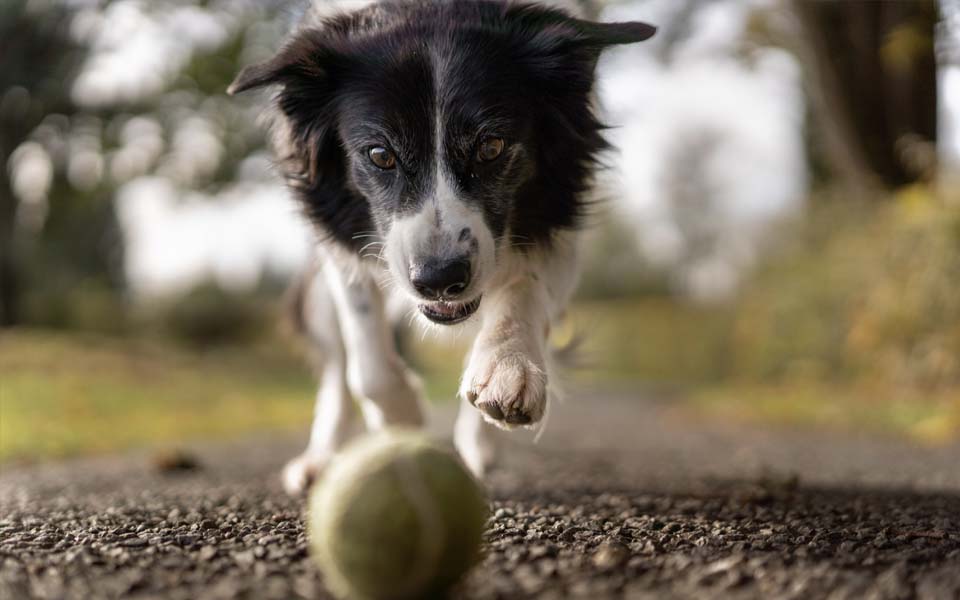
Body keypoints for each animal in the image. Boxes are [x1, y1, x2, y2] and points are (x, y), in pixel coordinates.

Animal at [231, 2, 652, 494]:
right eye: (379, 155)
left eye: (491, 146)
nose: (439, 281)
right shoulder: (339, 240)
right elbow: (367, 362)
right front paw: (404, 419)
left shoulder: (560, 219)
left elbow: (523, 287)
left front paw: (507, 368)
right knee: (337, 367)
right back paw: (321, 459)